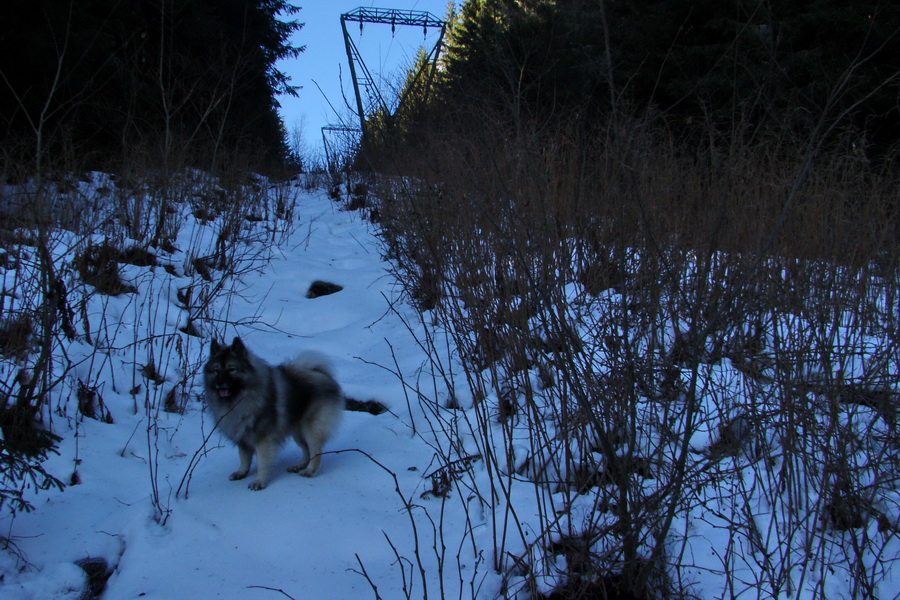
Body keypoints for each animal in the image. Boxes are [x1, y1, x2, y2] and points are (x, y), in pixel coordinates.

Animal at [204, 336, 344, 490]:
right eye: (216, 371)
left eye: (232, 369)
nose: (220, 383)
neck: (240, 399)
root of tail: (321, 373)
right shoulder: (243, 436)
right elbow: (244, 457)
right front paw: (241, 472)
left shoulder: (263, 439)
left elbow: (262, 463)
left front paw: (259, 481)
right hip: (297, 431)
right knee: (306, 450)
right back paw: (299, 465)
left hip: (310, 429)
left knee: (316, 451)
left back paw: (310, 471)